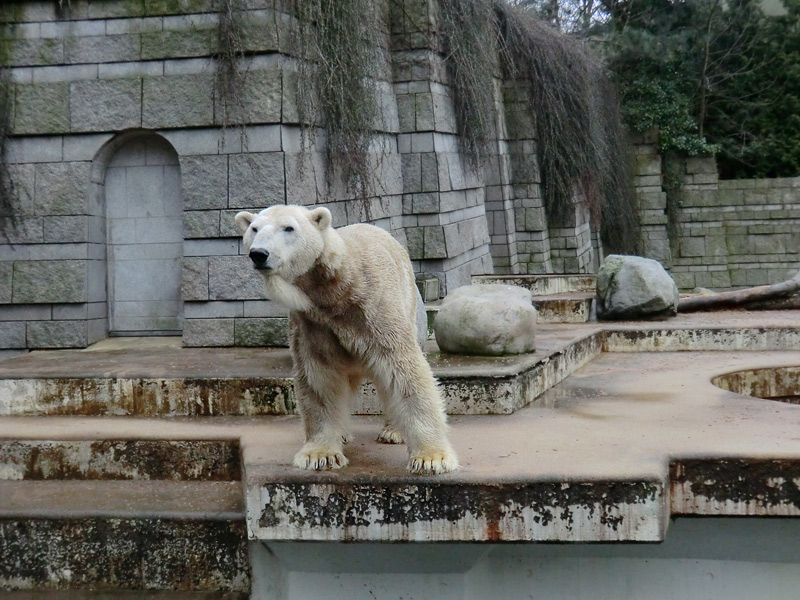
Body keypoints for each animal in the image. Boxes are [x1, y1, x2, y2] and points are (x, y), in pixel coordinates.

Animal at [234, 204, 456, 476]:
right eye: (254, 229)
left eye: (289, 228)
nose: (259, 254)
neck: (335, 289)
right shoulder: (312, 322)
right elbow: (320, 376)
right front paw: (320, 454)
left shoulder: (375, 310)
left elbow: (403, 370)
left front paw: (431, 458)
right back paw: (343, 433)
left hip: (413, 309)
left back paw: (392, 431)